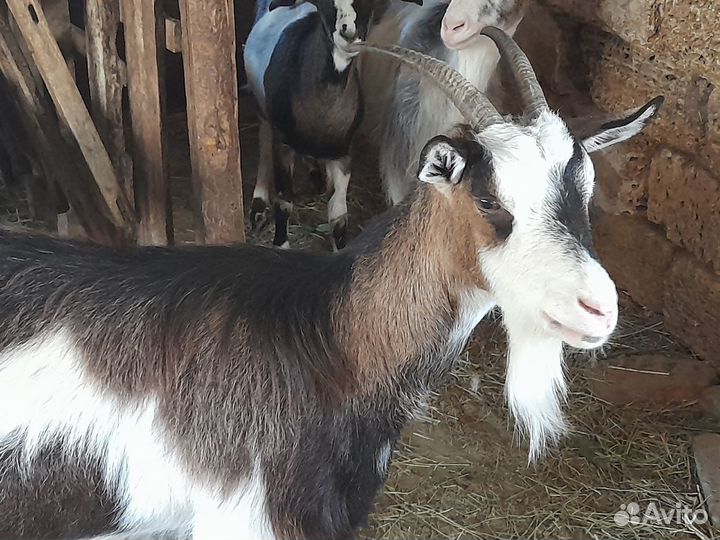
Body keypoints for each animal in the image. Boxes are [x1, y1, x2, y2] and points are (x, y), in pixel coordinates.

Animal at [243, 0, 419, 250]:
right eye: (326, 5)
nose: (349, 33)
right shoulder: (283, 144)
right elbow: (284, 201)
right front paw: (281, 244)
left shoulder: (343, 153)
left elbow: (338, 216)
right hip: (264, 110)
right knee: (264, 142)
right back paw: (258, 205)